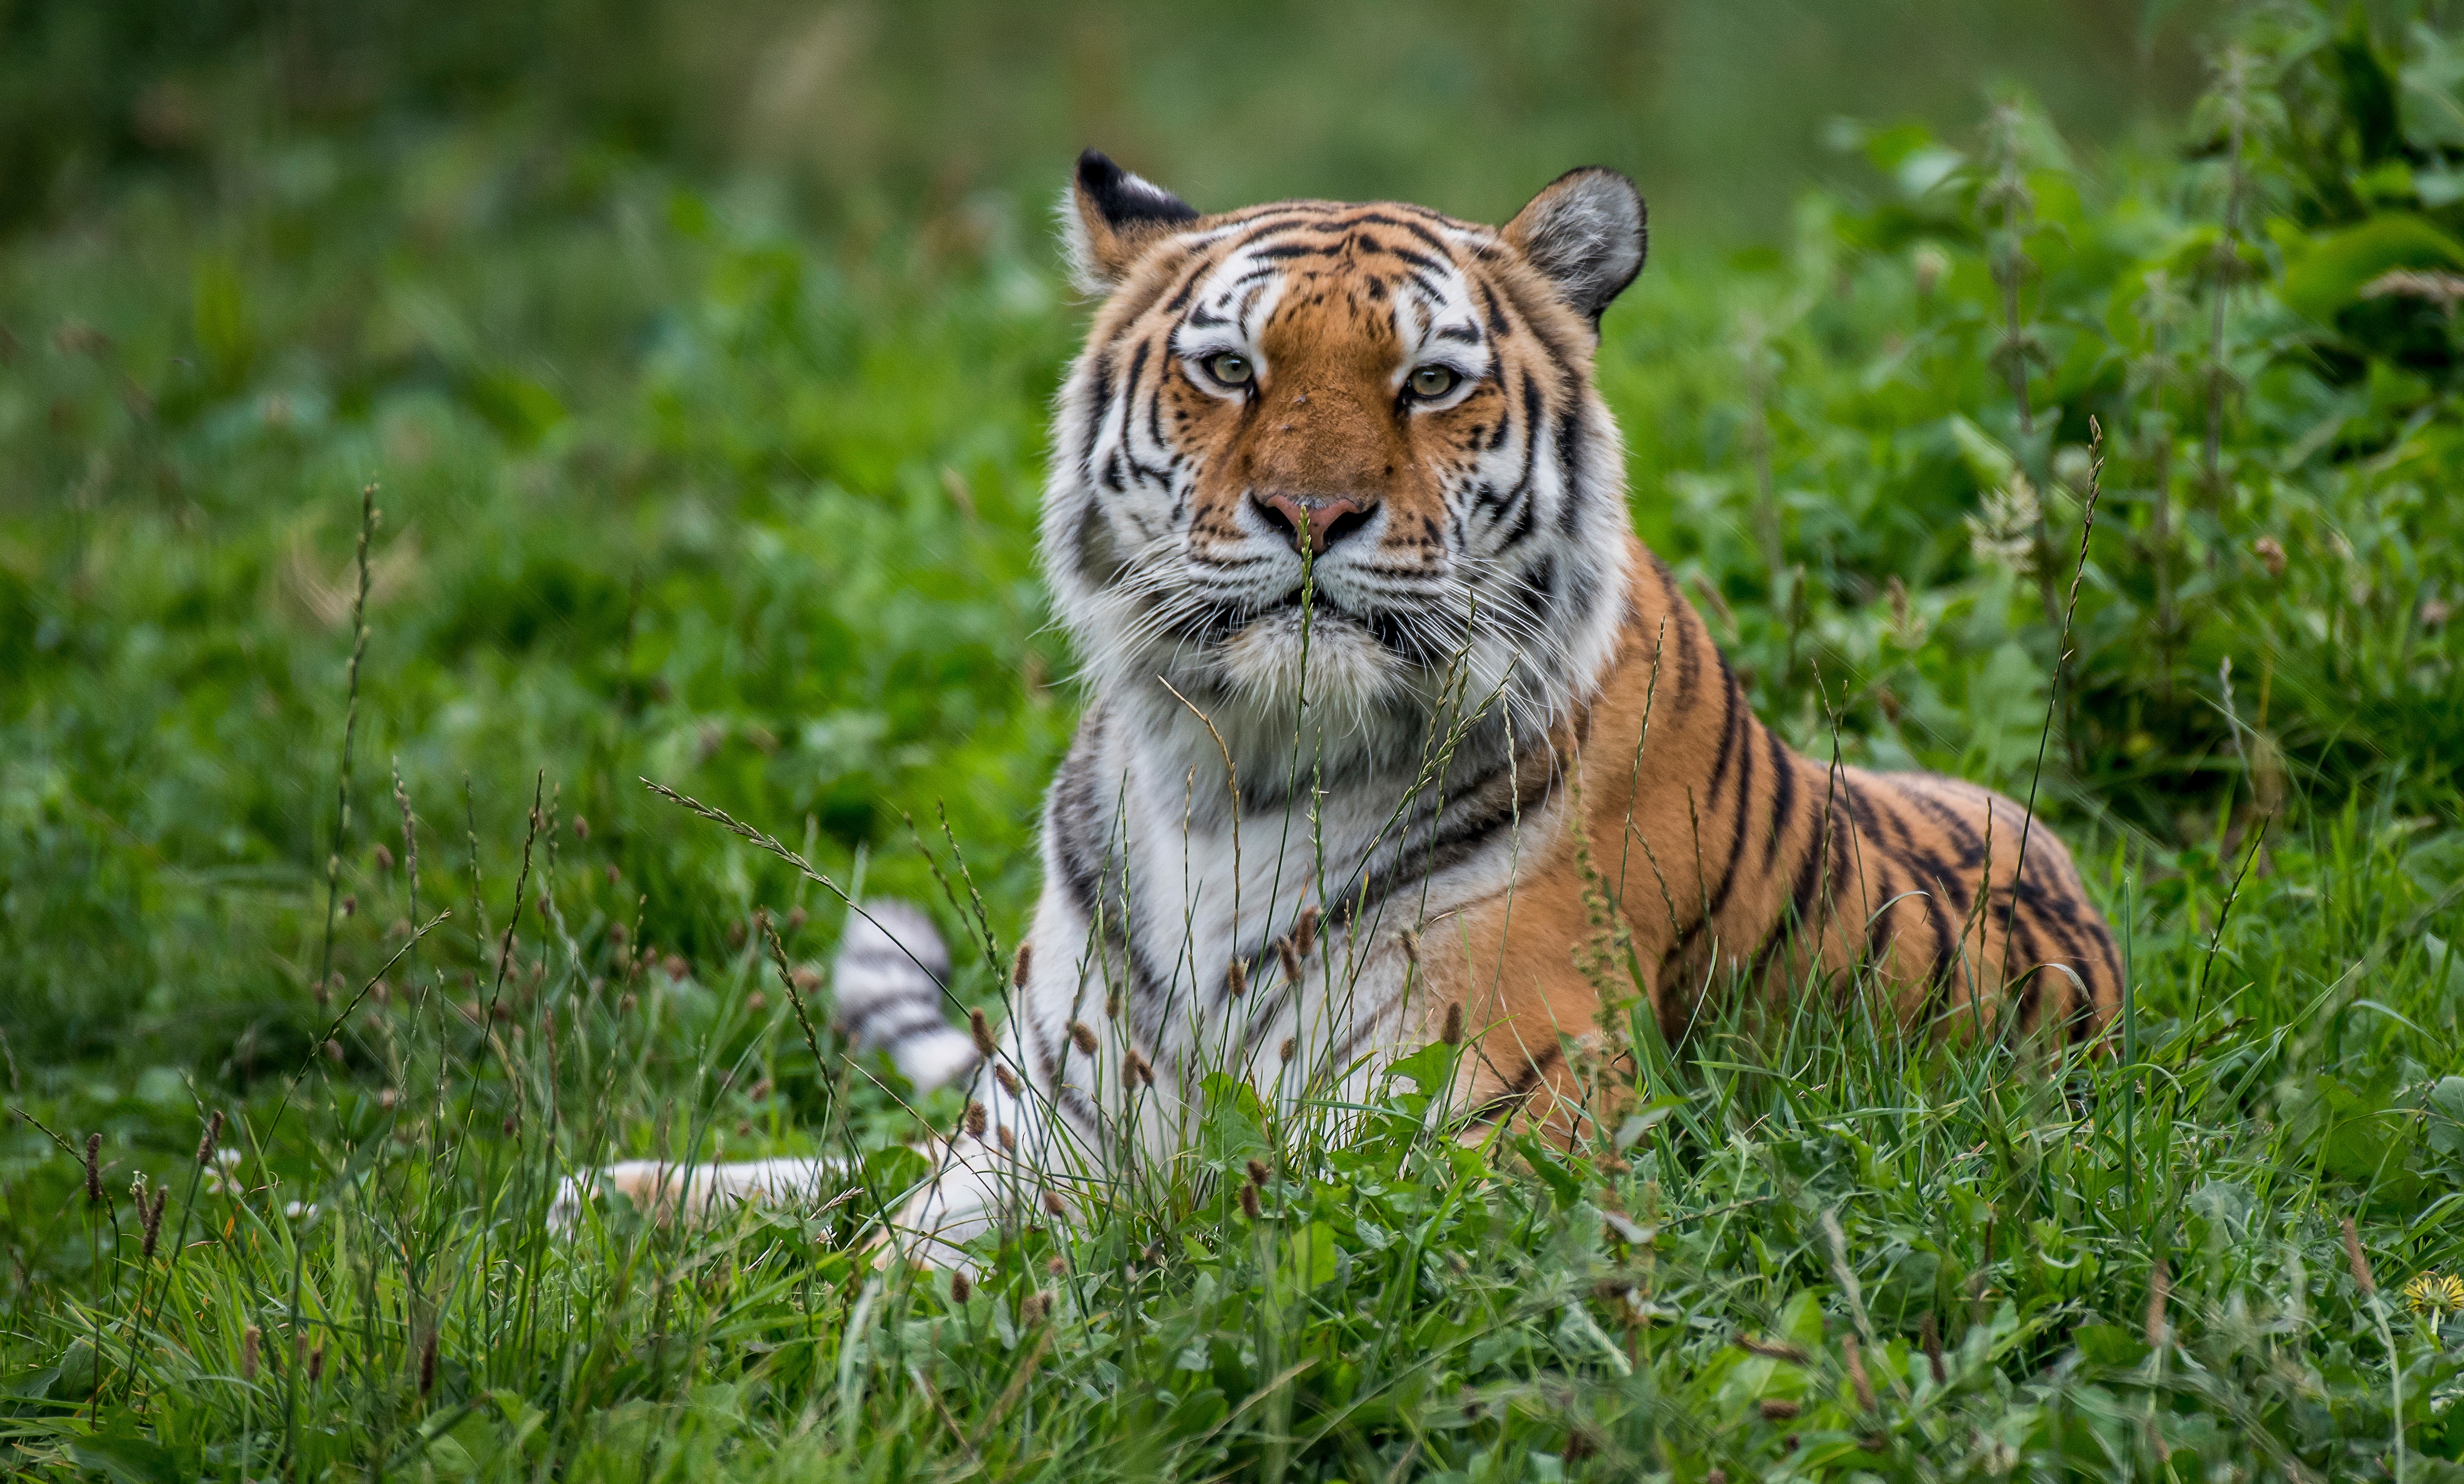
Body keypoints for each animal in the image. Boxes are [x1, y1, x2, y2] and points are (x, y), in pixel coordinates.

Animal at [566, 152, 2129, 1257]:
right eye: (1227, 369)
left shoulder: (1494, 1142)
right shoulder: (1032, 1128)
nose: (1312, 513)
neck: (1230, 776)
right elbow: (898, 1252)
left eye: (1429, 383)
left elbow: (1184, 1221)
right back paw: (614, 1190)